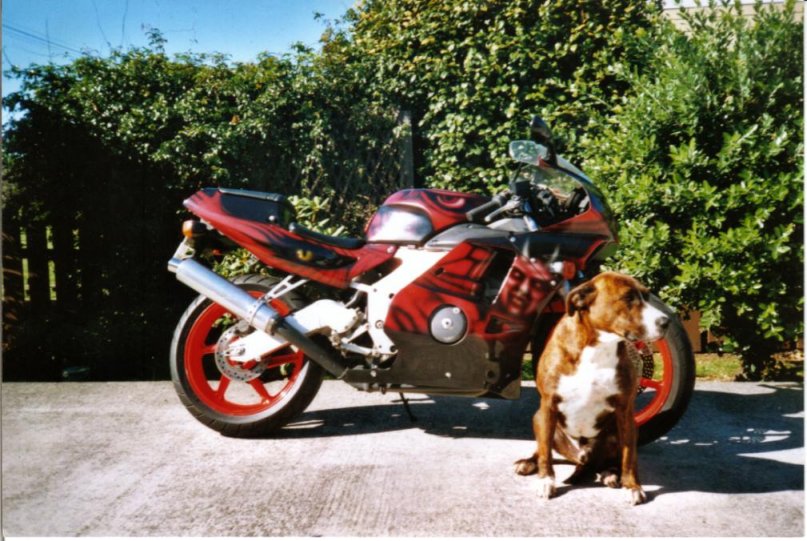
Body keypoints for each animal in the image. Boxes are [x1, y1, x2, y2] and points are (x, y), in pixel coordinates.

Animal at [514, 271, 670, 505]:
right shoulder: (548, 405)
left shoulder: (625, 412)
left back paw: (610, 474)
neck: (598, 347)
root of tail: (582, 458)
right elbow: (545, 453)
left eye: (647, 295)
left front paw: (632, 486)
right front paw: (546, 480)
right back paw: (528, 462)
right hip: (539, 418)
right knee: (543, 449)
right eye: (628, 298)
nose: (666, 321)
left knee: (611, 460)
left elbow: (629, 456)